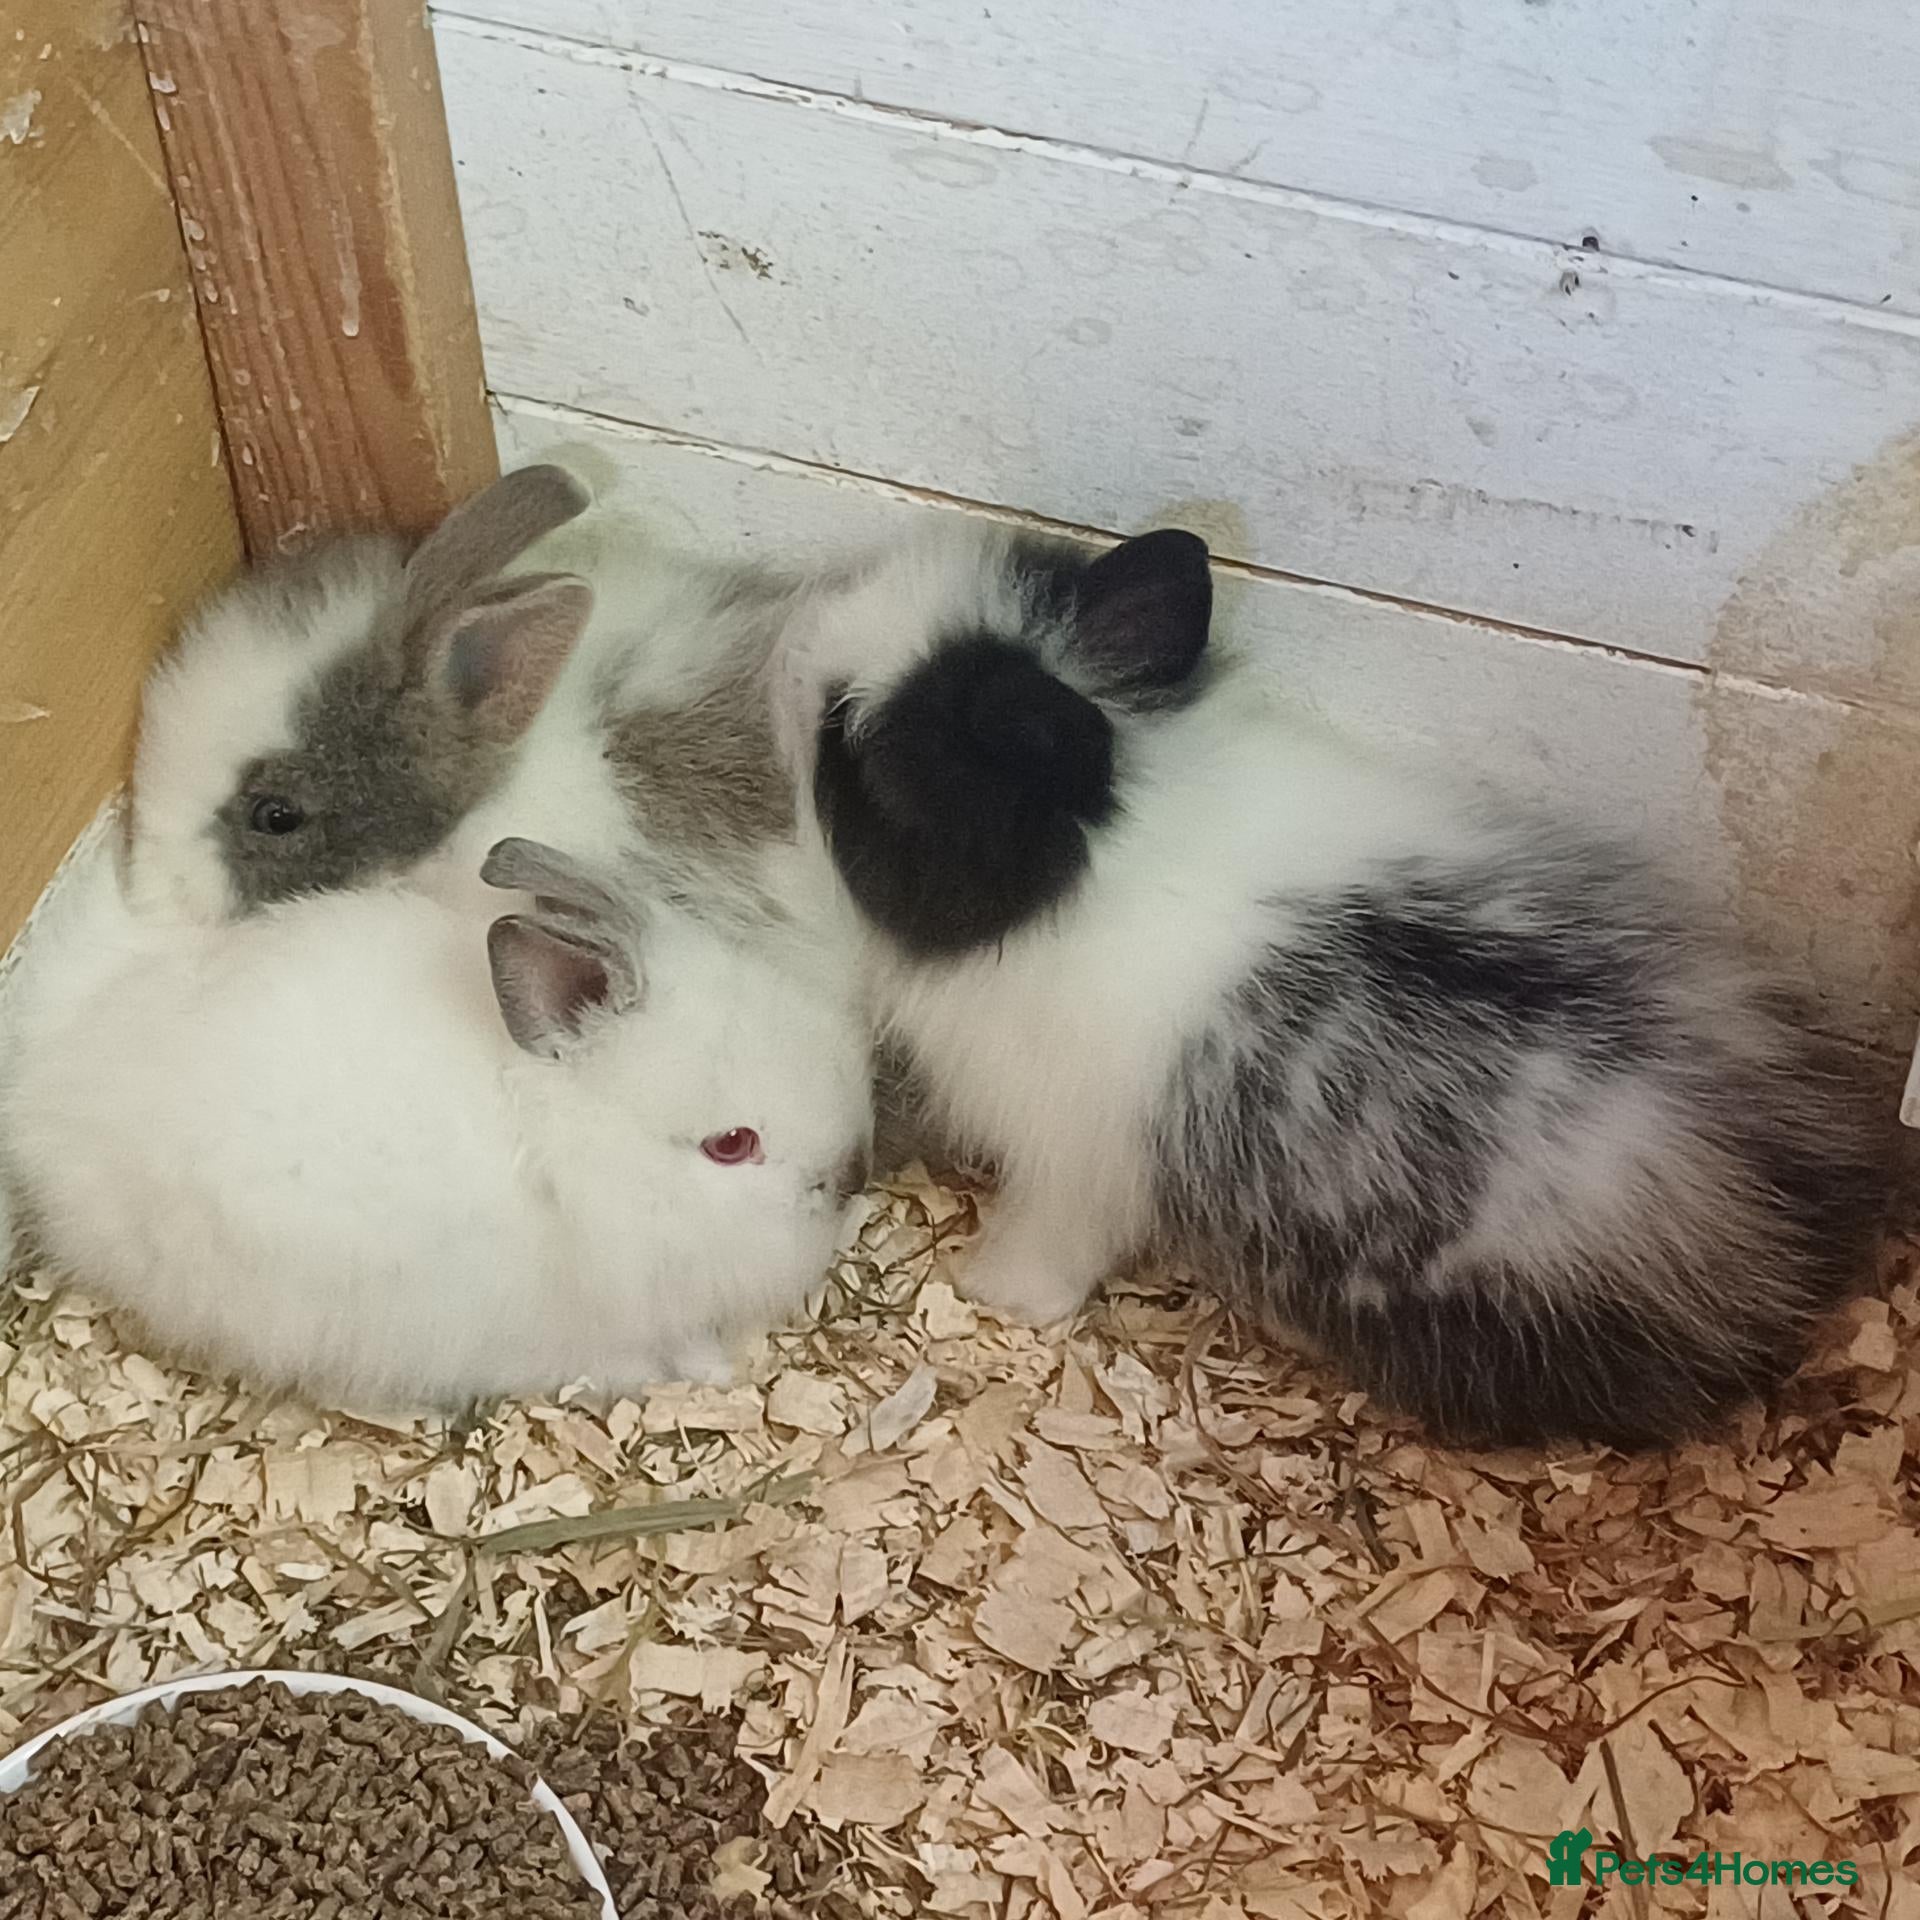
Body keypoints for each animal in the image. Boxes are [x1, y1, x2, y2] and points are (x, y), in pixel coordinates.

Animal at [779, 521, 1893, 1449]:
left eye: (853, 745)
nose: (791, 656)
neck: (1112, 841)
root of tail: (1788, 1222)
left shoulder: (1077, 1160)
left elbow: (1053, 1242)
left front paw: (997, 1294)